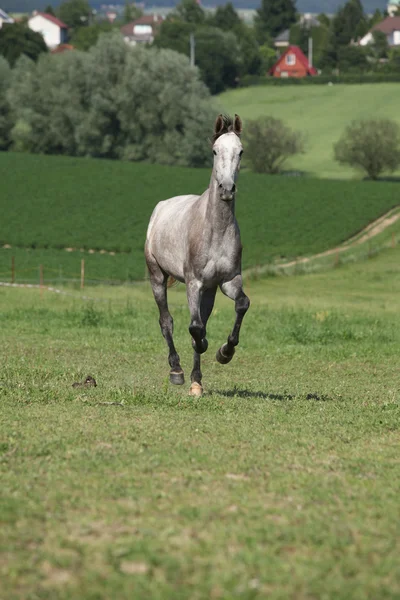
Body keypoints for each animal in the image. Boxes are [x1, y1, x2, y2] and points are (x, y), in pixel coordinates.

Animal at [144, 114, 250, 396]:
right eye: (215, 150)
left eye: (240, 151)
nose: (227, 189)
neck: (215, 229)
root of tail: (161, 207)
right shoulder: (194, 283)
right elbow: (194, 327)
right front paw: (202, 348)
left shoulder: (228, 281)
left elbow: (241, 304)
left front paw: (224, 353)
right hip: (157, 276)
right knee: (166, 321)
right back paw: (177, 371)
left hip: (210, 290)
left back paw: (196, 380)